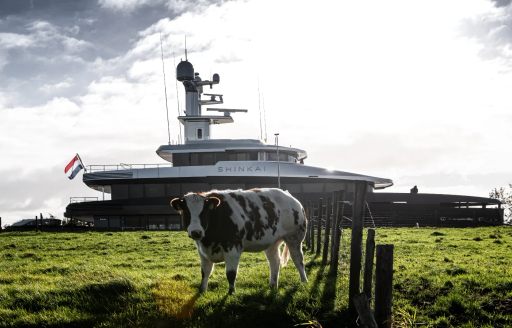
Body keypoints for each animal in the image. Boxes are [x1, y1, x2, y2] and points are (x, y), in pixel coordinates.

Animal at [171, 188, 308, 294]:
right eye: (186, 212)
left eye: (204, 212)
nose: (196, 232)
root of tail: (290, 197)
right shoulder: (203, 252)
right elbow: (205, 272)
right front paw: (202, 291)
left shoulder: (232, 248)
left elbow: (231, 274)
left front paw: (231, 293)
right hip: (272, 243)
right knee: (275, 262)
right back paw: (273, 285)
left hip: (294, 238)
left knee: (298, 260)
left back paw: (304, 281)